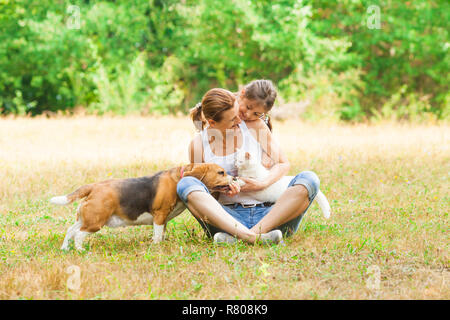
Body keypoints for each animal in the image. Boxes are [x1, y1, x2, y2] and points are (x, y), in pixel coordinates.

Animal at [51, 164, 234, 251]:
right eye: (221, 172)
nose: (235, 178)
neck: (178, 177)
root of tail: (93, 187)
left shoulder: (163, 220)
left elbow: (161, 234)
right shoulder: (160, 216)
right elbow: (158, 236)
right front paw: (157, 246)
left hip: (85, 219)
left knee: (70, 231)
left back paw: (65, 248)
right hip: (95, 222)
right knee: (79, 235)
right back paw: (80, 249)